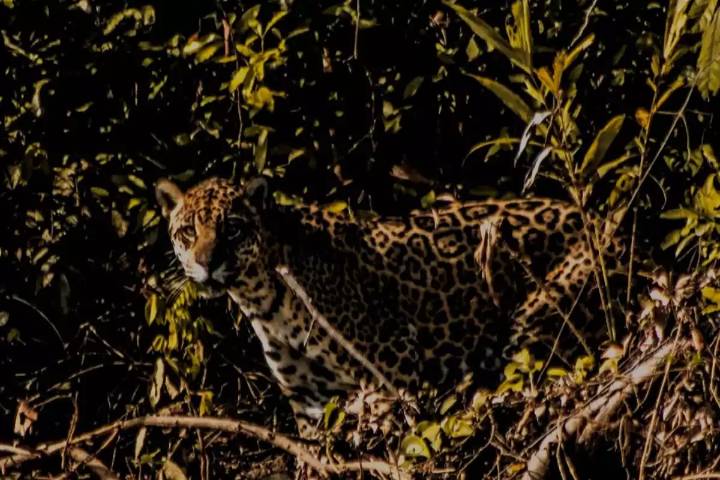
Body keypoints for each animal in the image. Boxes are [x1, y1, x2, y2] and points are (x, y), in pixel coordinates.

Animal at [156, 176, 623, 437]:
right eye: (187, 232)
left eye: (233, 229)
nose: (206, 262)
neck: (260, 296)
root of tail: (613, 226)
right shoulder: (306, 397)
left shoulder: (389, 367)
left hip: (543, 314)